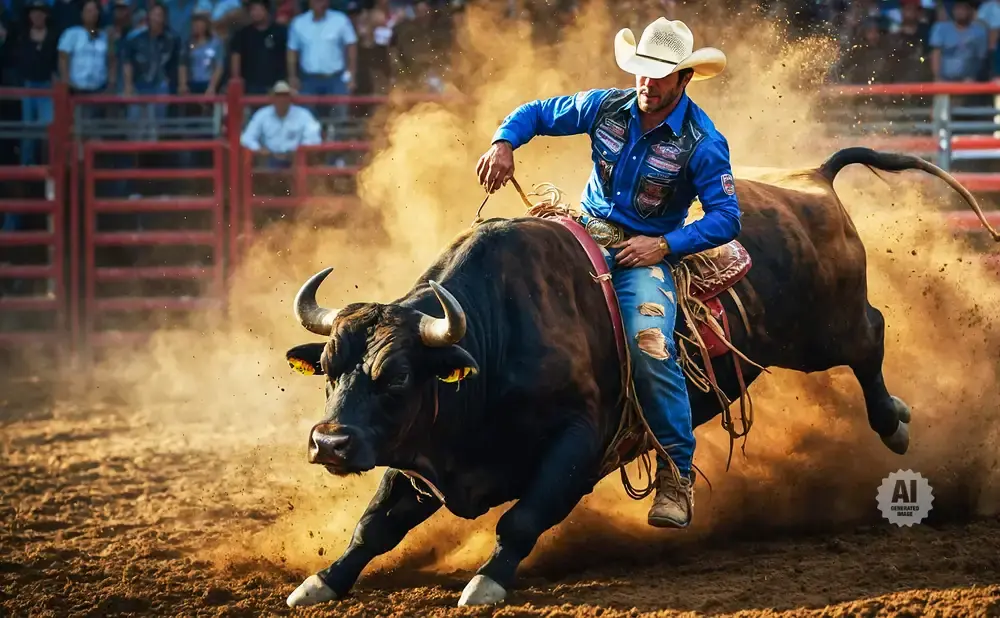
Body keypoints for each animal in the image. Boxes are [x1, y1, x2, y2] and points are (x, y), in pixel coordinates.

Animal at [281, 147, 999, 609]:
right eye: (330, 371)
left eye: (398, 375)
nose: (329, 442)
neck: (495, 332)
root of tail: (811, 180)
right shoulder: (426, 457)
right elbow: (375, 525)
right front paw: (322, 582)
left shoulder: (578, 441)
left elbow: (524, 516)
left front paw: (486, 583)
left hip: (826, 331)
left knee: (872, 337)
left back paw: (895, 424)